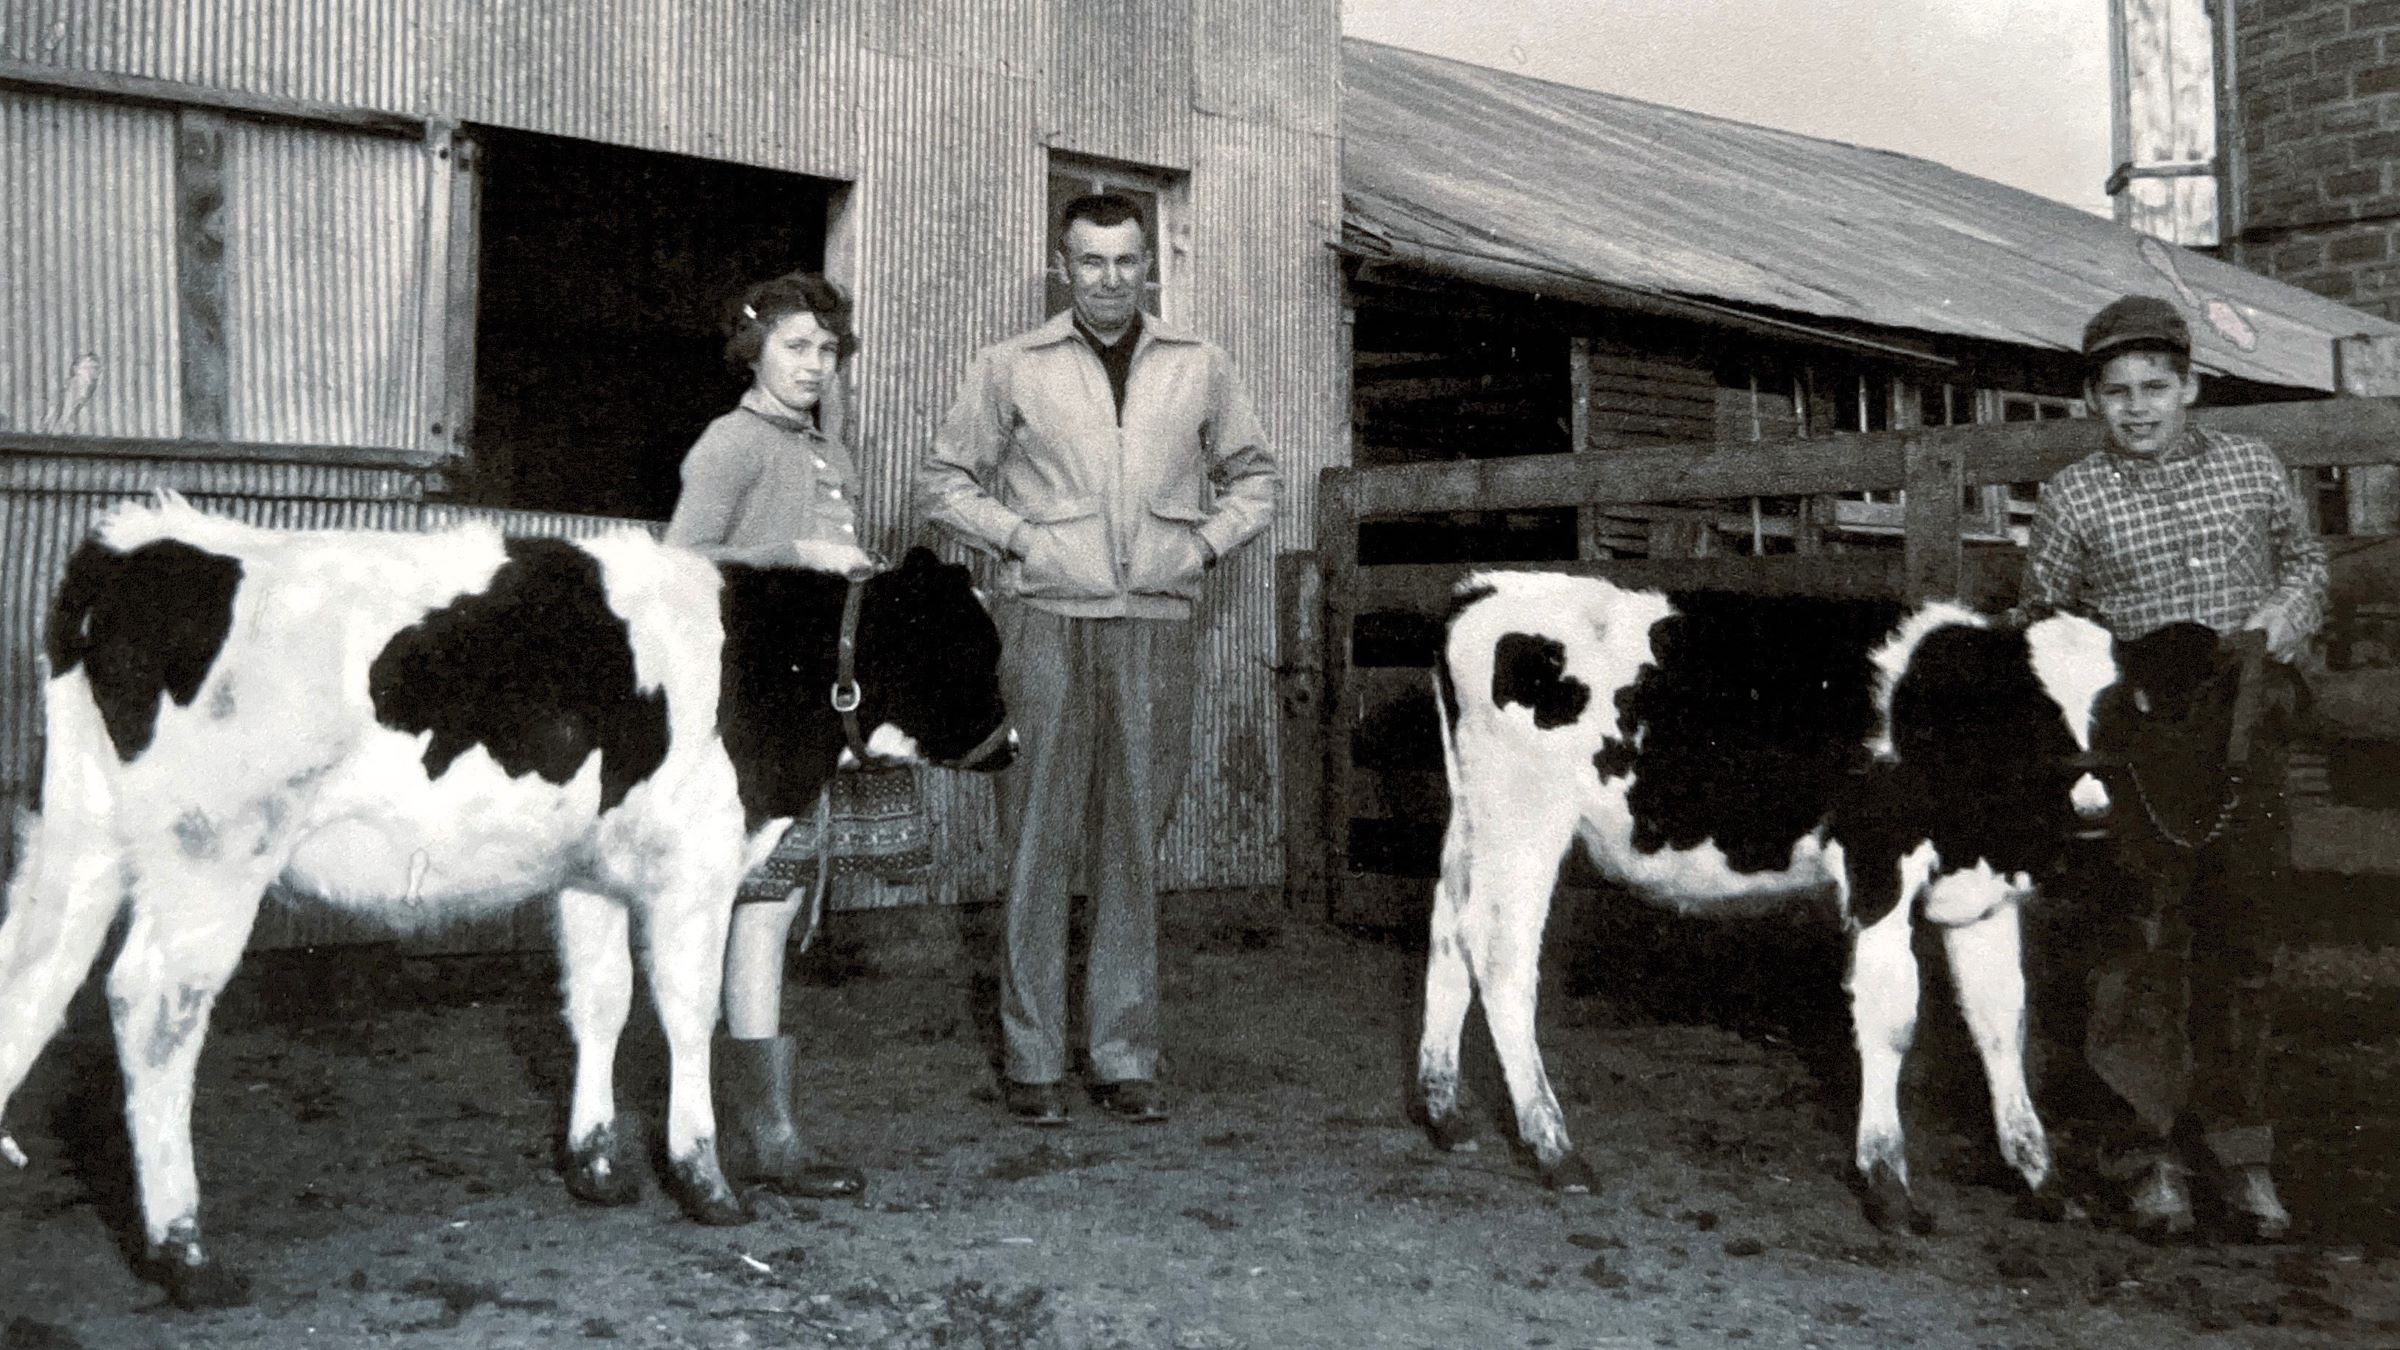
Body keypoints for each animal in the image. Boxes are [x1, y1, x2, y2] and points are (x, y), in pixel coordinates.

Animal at [0, 487, 1008, 1297]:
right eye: (969, 649)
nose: (1014, 744)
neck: (766, 662)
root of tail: (138, 543)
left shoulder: (590, 873)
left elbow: (599, 1001)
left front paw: (597, 1165)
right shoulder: (695, 868)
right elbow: (688, 1015)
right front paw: (704, 1180)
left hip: (77, 835)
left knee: (32, 978)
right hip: (210, 853)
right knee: (152, 1010)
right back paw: (186, 1255)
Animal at [1411, 571, 2112, 1225]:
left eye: (2114, 708)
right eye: (2038, 712)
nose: (2094, 808)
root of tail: (1487, 589)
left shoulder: (1986, 898)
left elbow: (2002, 1022)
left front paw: (2040, 1175)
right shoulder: (1878, 866)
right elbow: (1891, 1019)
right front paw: (1887, 1179)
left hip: (1473, 823)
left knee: (1448, 933)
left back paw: (1446, 1113)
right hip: (1525, 823)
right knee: (1501, 959)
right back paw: (1554, 1148)